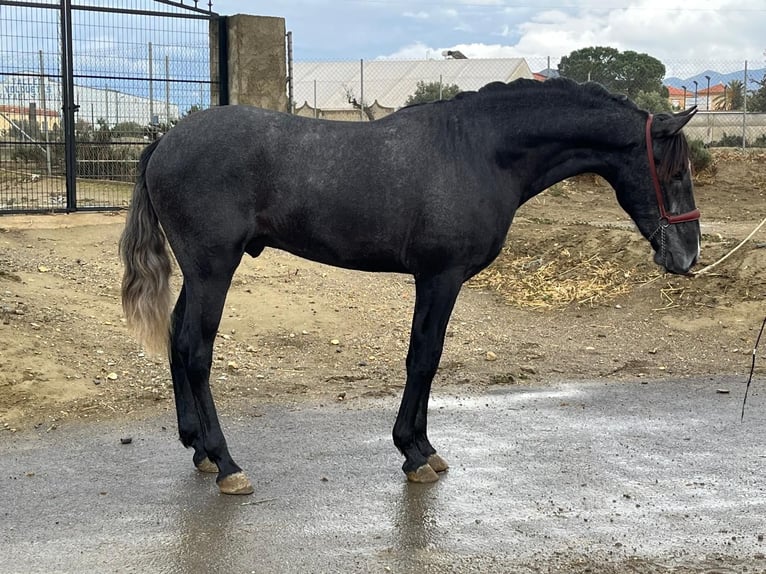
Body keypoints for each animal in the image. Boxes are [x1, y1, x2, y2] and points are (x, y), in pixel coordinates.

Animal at [120, 79, 704, 498]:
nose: (689, 254)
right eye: (673, 171)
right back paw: (226, 463)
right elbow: (424, 356)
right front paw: (413, 453)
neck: (479, 150)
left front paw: (424, 447)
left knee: (177, 338)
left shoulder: (437, 279)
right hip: (212, 268)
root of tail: (166, 140)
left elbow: (429, 357)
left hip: (201, 272)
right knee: (195, 350)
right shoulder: (439, 276)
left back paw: (197, 447)